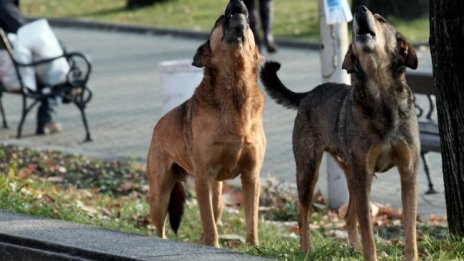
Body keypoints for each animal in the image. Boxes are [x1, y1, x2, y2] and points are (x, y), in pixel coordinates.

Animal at [147, 0, 266, 248]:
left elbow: (251, 218)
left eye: (249, 23)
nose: (237, 3)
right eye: (220, 20)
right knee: (160, 226)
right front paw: (214, 245)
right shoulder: (203, 176)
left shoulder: (251, 176)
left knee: (214, 211)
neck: (236, 92)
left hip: (218, 196)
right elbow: (208, 222)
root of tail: (157, 126)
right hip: (160, 193)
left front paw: (253, 246)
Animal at [260, 5, 420, 260]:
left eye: (381, 19)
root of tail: (308, 94)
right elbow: (368, 233)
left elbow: (410, 230)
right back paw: (307, 250)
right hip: (309, 171)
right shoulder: (364, 173)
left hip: (352, 175)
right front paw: (369, 254)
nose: (359, 9)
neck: (381, 97)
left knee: (347, 217)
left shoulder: (408, 171)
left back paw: (353, 248)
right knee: (303, 216)